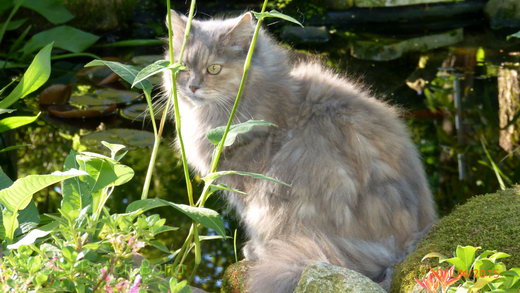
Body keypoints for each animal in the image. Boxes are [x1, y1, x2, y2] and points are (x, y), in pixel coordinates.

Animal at [161, 10, 434, 290]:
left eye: (214, 69)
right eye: (183, 67)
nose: (192, 86)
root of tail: (401, 247)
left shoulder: (245, 185)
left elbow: (253, 225)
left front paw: (255, 250)